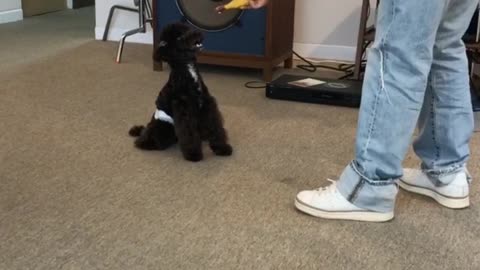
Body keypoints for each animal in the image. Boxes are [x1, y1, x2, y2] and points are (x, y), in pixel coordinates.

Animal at [127, 22, 232, 160]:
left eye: (187, 28)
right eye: (179, 38)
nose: (198, 33)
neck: (187, 69)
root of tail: (147, 128)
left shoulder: (207, 105)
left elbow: (215, 127)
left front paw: (222, 148)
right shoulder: (184, 110)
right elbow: (189, 133)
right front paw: (193, 154)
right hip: (163, 128)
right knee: (146, 140)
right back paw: (145, 142)